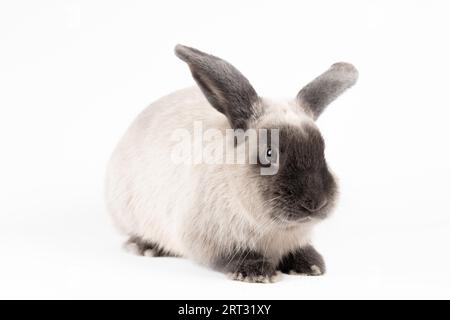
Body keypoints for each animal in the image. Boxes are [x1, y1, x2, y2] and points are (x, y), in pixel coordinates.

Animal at [105, 44, 358, 282]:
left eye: (323, 151)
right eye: (268, 154)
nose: (316, 202)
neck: (273, 231)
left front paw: (310, 265)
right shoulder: (207, 239)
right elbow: (231, 256)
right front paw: (257, 272)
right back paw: (145, 247)